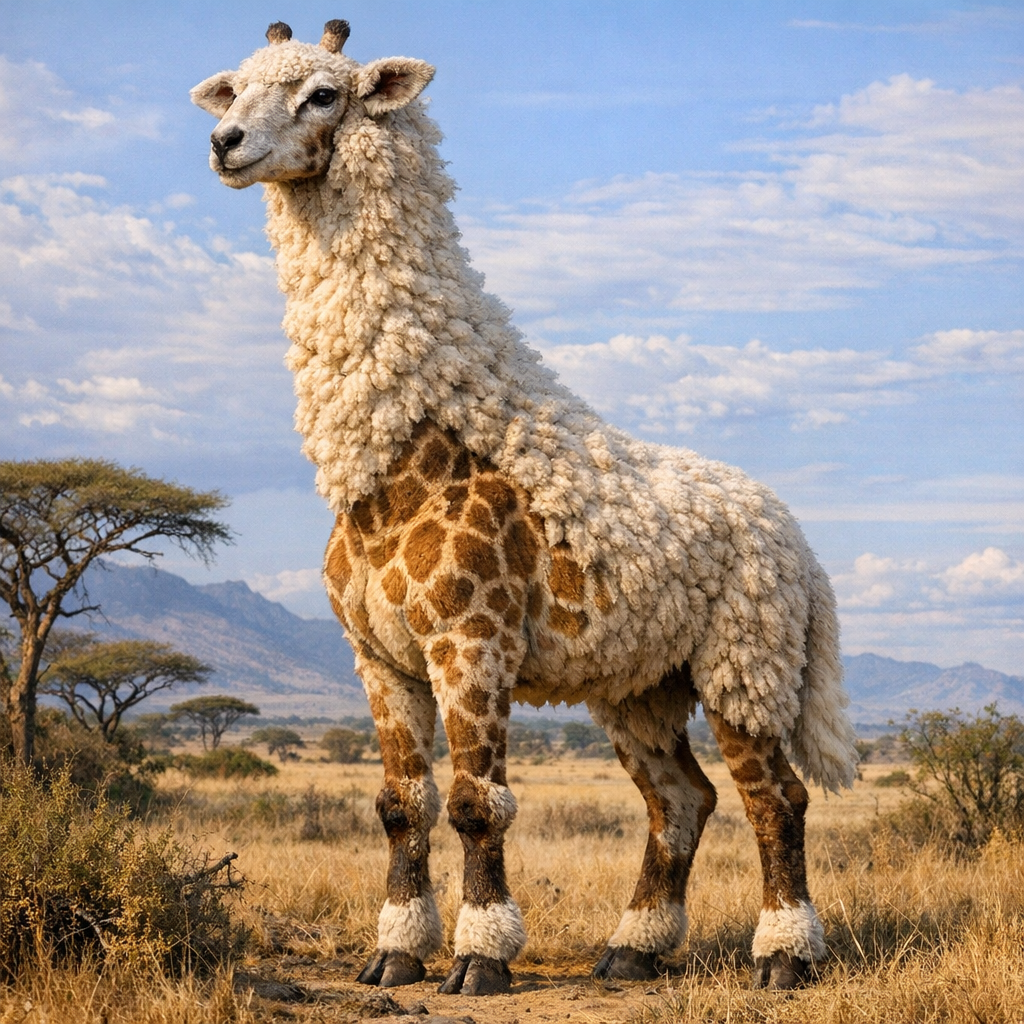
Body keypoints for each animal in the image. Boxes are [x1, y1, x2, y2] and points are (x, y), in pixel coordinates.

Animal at [192, 20, 858, 995]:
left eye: (322, 94)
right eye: (234, 88)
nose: (225, 144)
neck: (393, 469)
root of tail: (804, 554)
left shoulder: (473, 642)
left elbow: (478, 803)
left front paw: (479, 957)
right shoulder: (378, 658)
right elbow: (399, 804)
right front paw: (394, 952)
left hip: (746, 662)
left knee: (776, 796)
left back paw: (782, 955)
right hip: (641, 684)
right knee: (681, 797)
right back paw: (632, 948)